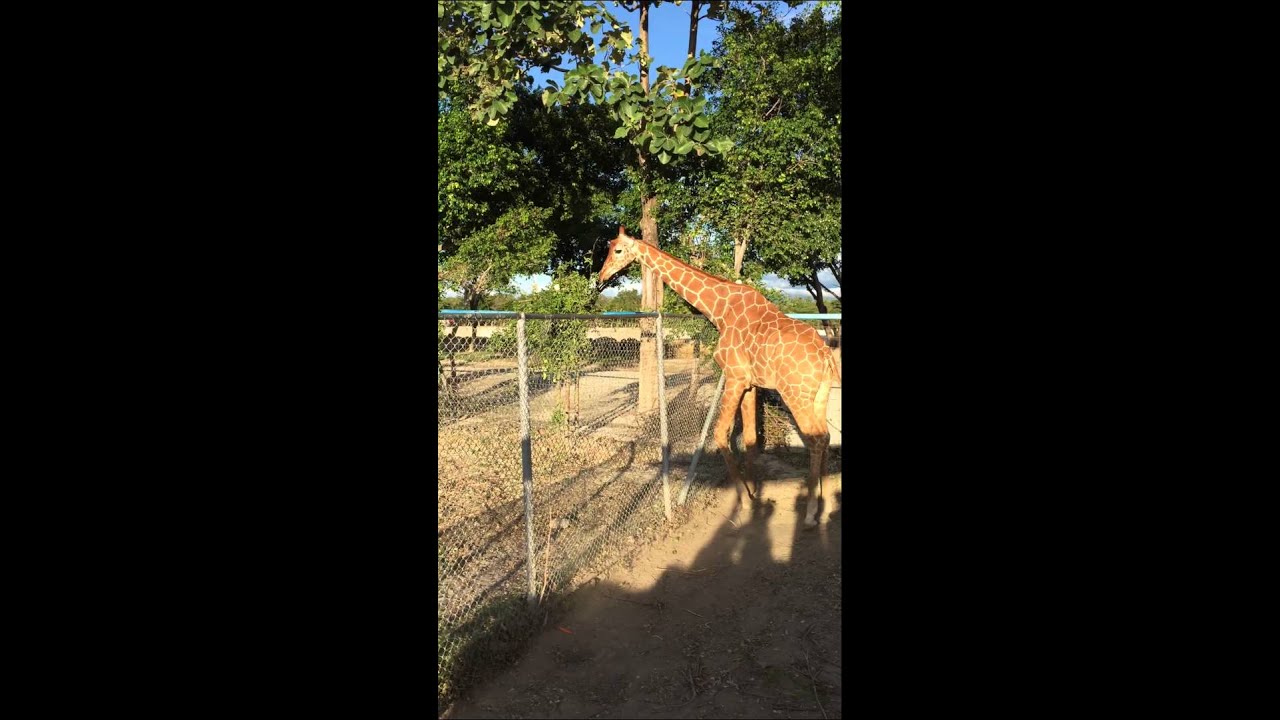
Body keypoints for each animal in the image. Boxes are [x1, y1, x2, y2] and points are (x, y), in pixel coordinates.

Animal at [598, 227, 840, 527]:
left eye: (618, 250)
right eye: (609, 247)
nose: (601, 277)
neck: (720, 310)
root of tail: (826, 355)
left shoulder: (734, 377)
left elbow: (720, 433)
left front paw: (742, 501)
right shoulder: (750, 384)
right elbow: (750, 438)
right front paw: (755, 494)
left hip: (795, 393)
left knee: (815, 439)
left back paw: (809, 514)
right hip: (819, 394)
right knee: (825, 437)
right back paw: (825, 505)